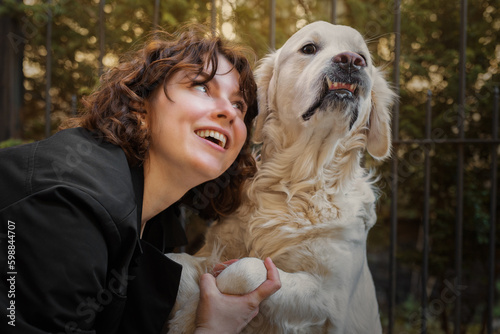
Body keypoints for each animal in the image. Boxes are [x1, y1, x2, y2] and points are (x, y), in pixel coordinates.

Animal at [167, 21, 394, 334]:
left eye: (365, 58)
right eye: (309, 48)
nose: (350, 61)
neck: (300, 180)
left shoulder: (328, 298)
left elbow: (244, 270)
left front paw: (193, 317)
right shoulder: (211, 251)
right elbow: (177, 264)